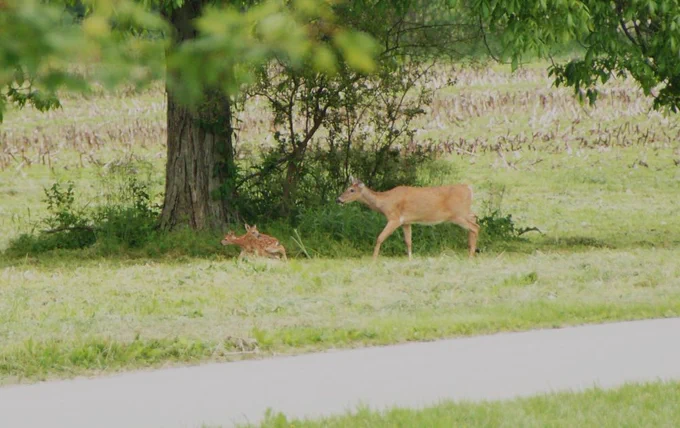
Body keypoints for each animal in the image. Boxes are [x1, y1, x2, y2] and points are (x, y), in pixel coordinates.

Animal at [336, 176, 479, 261]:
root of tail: (469, 188)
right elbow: (408, 241)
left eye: (352, 190)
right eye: (347, 188)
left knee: (475, 227)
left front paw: (373, 259)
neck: (384, 202)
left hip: (457, 214)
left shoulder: (394, 218)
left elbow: (380, 237)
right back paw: (470, 250)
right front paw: (410, 259)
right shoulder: (406, 222)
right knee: (474, 218)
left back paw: (471, 256)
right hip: (464, 212)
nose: (338, 199)